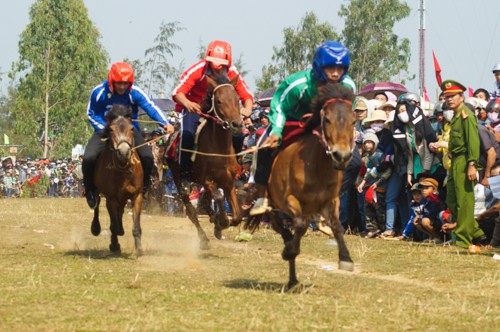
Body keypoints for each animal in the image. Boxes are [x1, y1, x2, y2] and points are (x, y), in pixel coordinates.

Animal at [91, 104, 144, 254]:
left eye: (131, 128)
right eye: (110, 129)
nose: (124, 152)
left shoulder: (137, 195)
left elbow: (136, 226)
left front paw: (139, 250)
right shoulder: (111, 199)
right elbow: (113, 225)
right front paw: (114, 245)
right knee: (96, 204)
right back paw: (96, 228)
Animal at [167, 73, 243, 249]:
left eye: (237, 100)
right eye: (219, 101)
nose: (237, 124)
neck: (219, 148)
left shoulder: (228, 182)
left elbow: (237, 216)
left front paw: (219, 223)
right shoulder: (207, 180)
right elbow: (219, 198)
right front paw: (221, 222)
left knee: (205, 203)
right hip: (179, 180)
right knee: (191, 210)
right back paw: (203, 238)